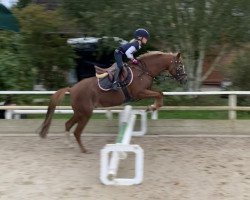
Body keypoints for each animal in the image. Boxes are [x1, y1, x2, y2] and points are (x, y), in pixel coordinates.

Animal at [39, 50, 187, 152]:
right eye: (180, 66)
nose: (185, 80)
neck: (144, 71)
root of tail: (72, 88)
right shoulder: (140, 92)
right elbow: (159, 95)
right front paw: (151, 107)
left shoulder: (146, 91)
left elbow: (160, 93)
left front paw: (151, 107)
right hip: (85, 113)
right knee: (77, 131)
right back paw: (84, 150)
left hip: (79, 112)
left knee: (68, 124)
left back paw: (69, 144)